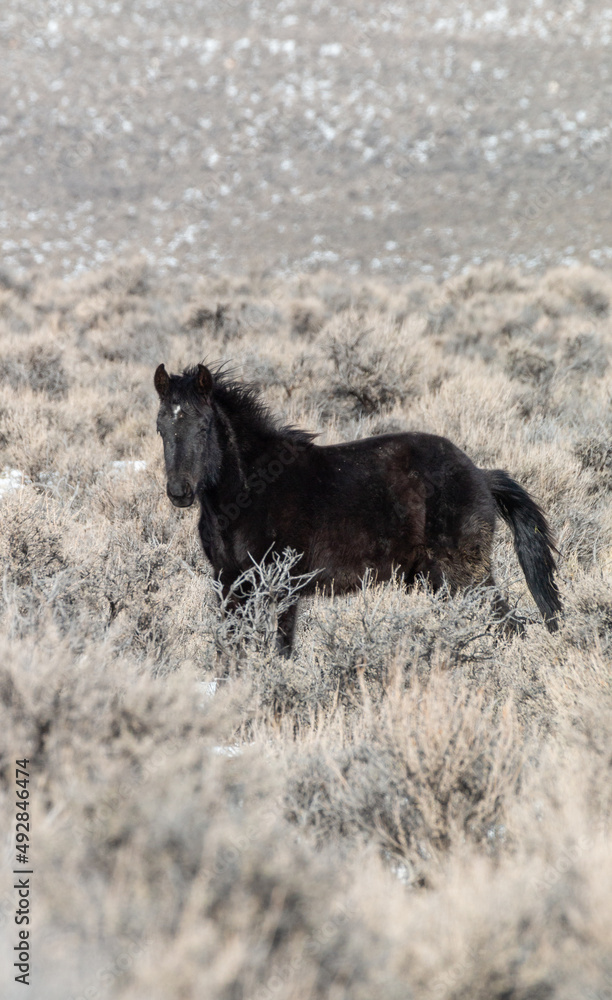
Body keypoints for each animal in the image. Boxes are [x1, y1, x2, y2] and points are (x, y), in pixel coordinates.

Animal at [154, 362, 562, 654]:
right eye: (160, 428)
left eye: (204, 427)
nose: (179, 492)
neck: (248, 493)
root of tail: (479, 474)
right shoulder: (229, 585)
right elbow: (232, 648)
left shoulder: (282, 586)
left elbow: (279, 648)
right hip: (438, 580)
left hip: (464, 573)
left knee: (508, 626)